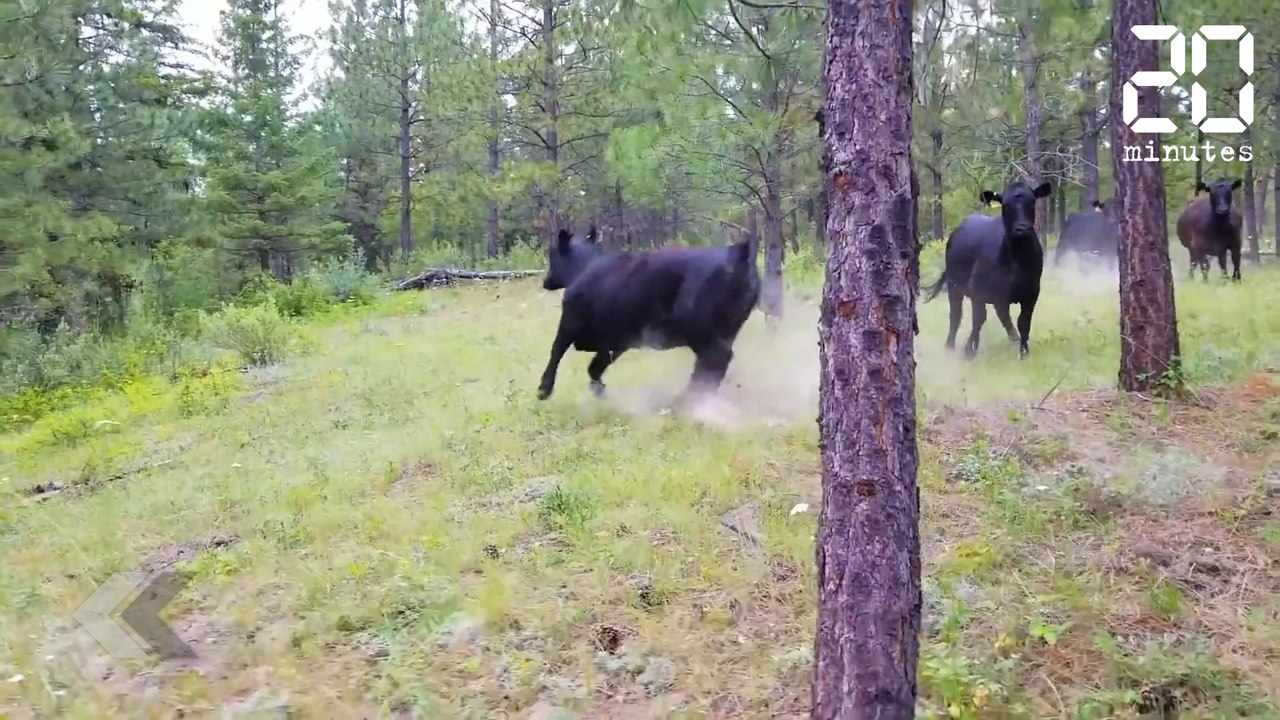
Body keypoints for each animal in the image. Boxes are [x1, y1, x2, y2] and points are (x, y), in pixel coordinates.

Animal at [536, 225, 761, 404]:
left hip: (704, 334)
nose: (546, 282)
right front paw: (602, 393)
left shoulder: (570, 322)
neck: (586, 267)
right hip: (724, 332)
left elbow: (556, 351)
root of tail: (739, 253)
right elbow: (595, 368)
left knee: (713, 363)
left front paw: (543, 389)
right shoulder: (615, 343)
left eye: (553, 255)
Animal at [921, 180, 1052, 360]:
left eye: (1032, 202)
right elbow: (978, 319)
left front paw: (1024, 352)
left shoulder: (1031, 292)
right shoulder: (978, 290)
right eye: (1006, 206)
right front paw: (969, 350)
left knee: (1002, 314)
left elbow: (1024, 321)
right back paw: (949, 346)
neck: (1016, 260)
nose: (1022, 228)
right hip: (954, 285)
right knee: (955, 315)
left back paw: (1013, 338)